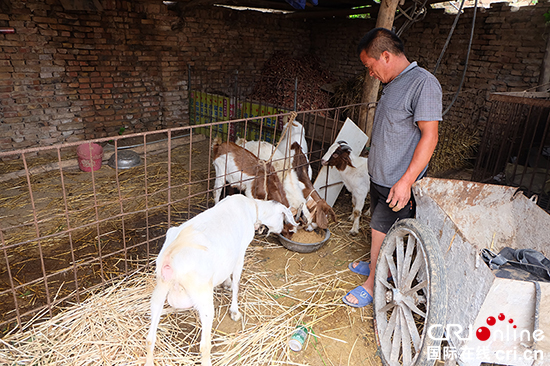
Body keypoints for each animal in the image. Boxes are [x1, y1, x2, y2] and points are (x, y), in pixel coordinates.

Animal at [146, 196, 298, 366]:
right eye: (283, 218)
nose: (281, 231)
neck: (252, 207)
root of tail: (169, 259)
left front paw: (226, 283)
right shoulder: (240, 253)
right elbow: (237, 279)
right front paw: (235, 311)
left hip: (160, 289)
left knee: (150, 338)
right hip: (202, 295)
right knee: (204, 345)